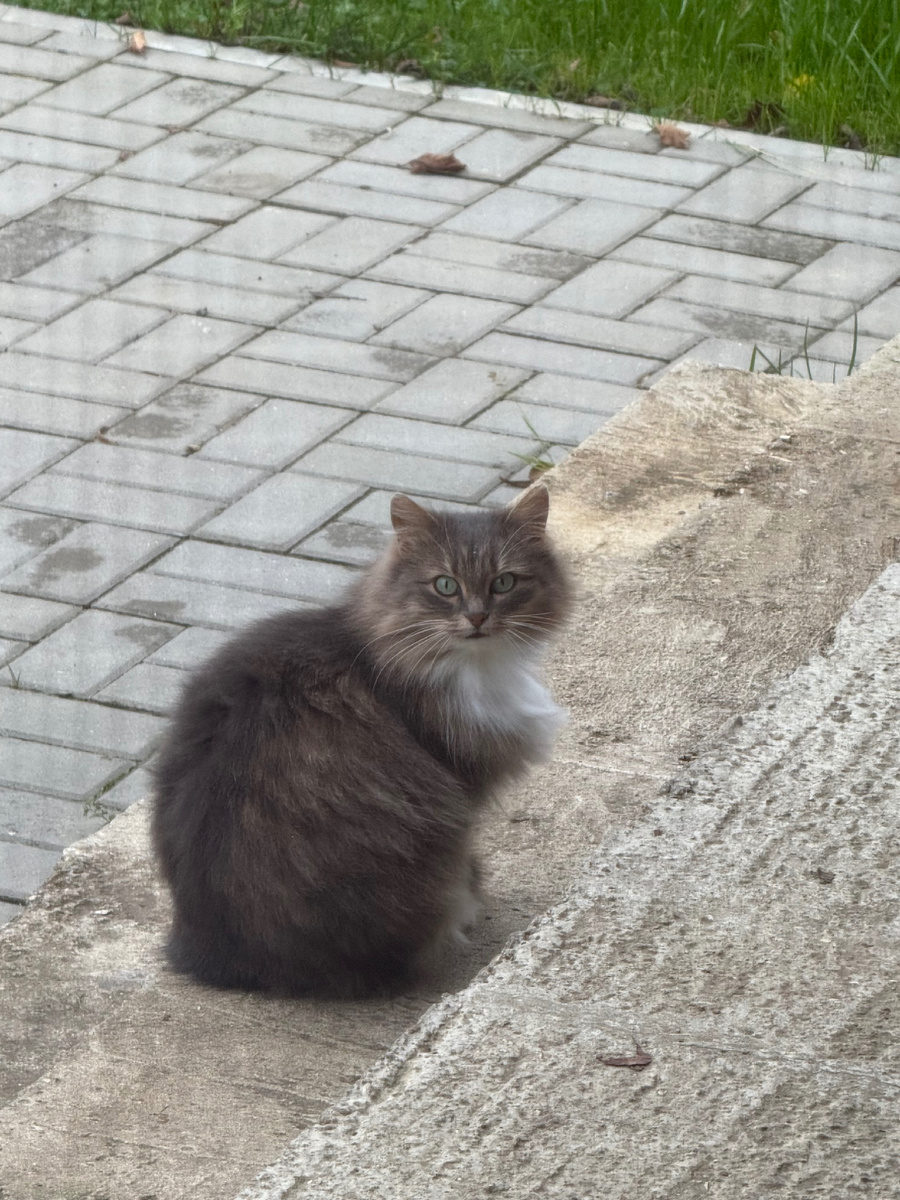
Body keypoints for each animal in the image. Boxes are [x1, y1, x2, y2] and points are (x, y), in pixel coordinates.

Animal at [151, 484, 570, 999]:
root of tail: (221, 959)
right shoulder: (460, 784)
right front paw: (474, 894)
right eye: (444, 586)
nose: (477, 617)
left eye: (505, 583)